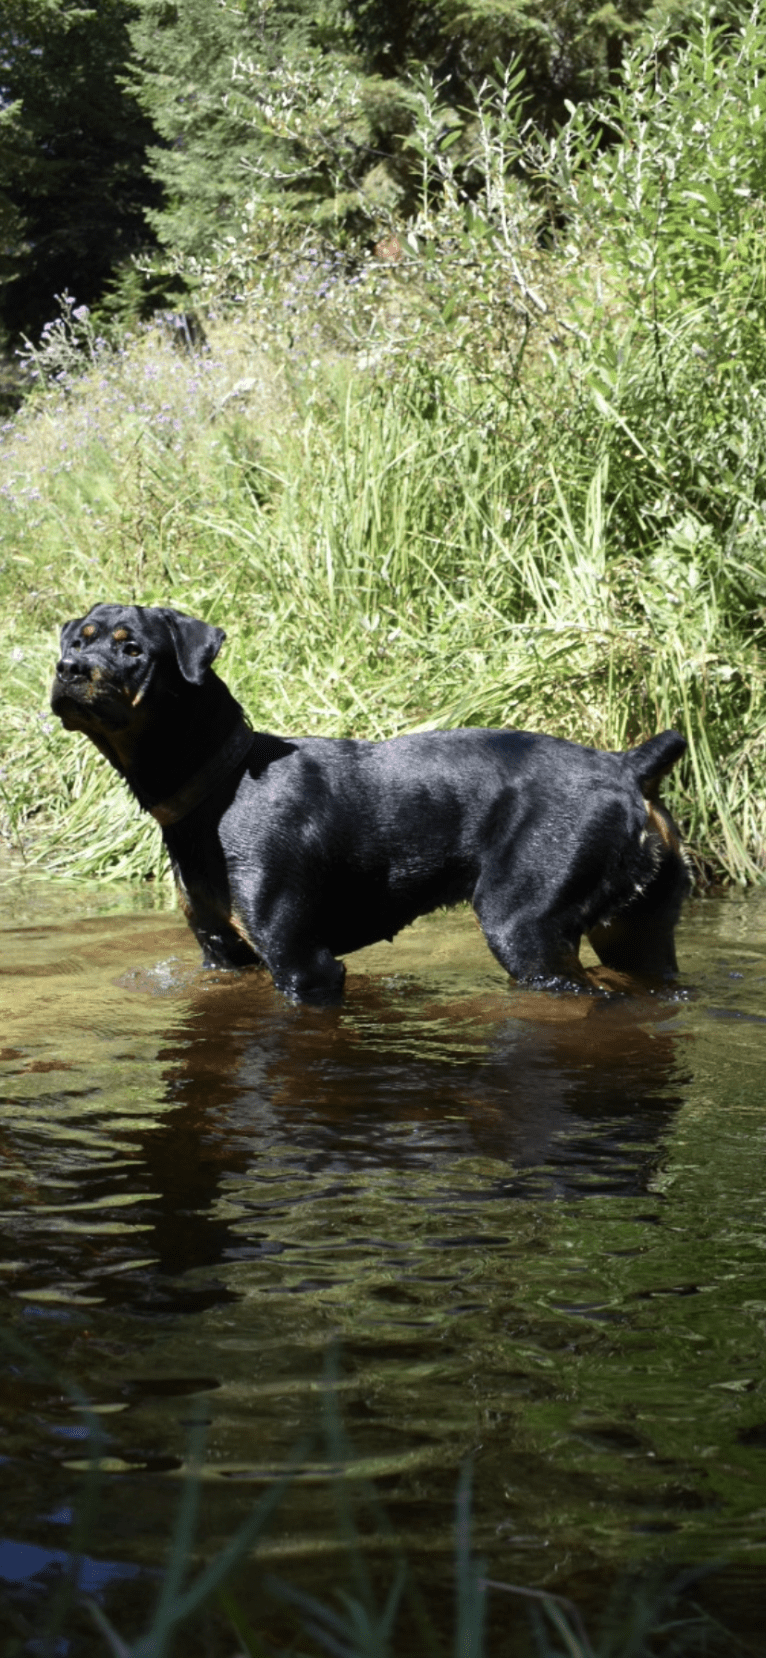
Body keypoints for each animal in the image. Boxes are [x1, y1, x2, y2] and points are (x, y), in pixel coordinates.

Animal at [50, 606, 689, 994]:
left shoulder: (302, 961)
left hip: (525, 925)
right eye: (79, 640)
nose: (67, 668)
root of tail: (626, 766)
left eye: (133, 648)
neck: (218, 788)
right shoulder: (223, 954)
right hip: (636, 928)